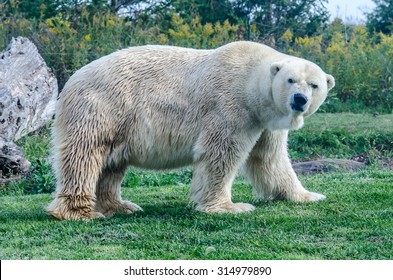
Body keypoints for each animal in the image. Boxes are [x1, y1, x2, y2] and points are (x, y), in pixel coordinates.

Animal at [46, 41, 334, 221]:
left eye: (314, 84)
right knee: (84, 157)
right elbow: (220, 154)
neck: (251, 81)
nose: (300, 99)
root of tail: (71, 79)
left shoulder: (264, 121)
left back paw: (120, 206)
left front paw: (308, 195)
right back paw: (80, 212)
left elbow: (270, 159)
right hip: (101, 107)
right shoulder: (231, 106)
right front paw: (230, 207)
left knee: (112, 164)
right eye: (290, 80)